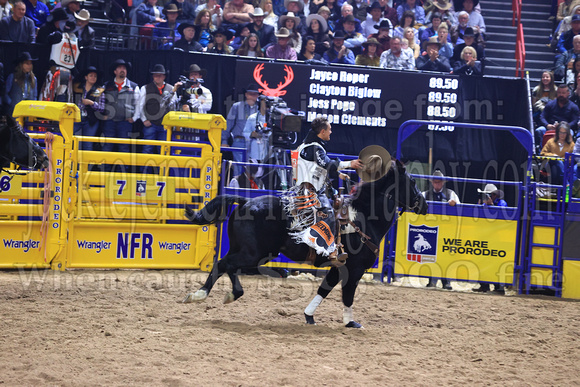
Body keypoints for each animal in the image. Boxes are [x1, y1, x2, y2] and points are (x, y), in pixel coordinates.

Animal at [184, 158, 428, 328]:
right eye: (412, 181)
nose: (424, 205)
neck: (365, 218)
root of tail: (245, 201)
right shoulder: (354, 268)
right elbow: (348, 295)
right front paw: (350, 322)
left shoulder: (338, 266)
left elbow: (325, 288)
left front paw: (309, 316)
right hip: (252, 253)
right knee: (223, 264)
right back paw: (200, 294)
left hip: (247, 251)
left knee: (229, 266)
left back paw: (231, 293)